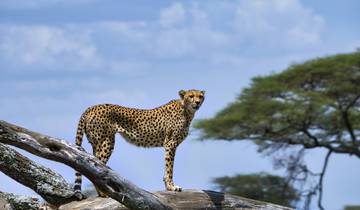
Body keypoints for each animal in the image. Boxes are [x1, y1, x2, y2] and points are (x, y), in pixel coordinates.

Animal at [73, 88, 205, 197]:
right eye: (191, 96)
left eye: (201, 96)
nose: (197, 102)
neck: (186, 110)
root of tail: (91, 107)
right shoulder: (170, 143)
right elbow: (169, 167)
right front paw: (172, 187)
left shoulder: (169, 144)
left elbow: (167, 168)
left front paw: (168, 187)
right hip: (107, 141)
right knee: (97, 166)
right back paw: (103, 193)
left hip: (96, 143)